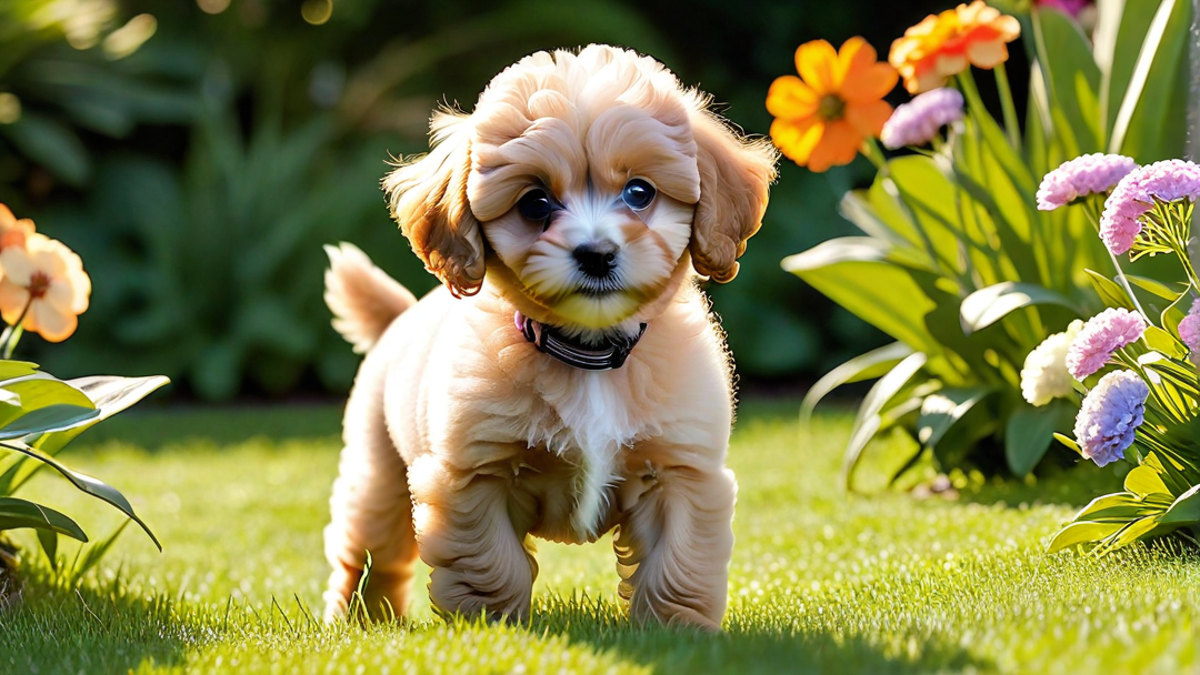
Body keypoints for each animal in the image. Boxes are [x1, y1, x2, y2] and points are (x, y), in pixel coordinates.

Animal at [319, 44, 772, 629]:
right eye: (535, 203)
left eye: (640, 192)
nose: (596, 254)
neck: (589, 353)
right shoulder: (474, 473)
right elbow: (491, 560)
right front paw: (490, 626)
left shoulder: (680, 470)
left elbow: (678, 562)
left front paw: (678, 631)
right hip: (379, 472)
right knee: (368, 552)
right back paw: (362, 622)